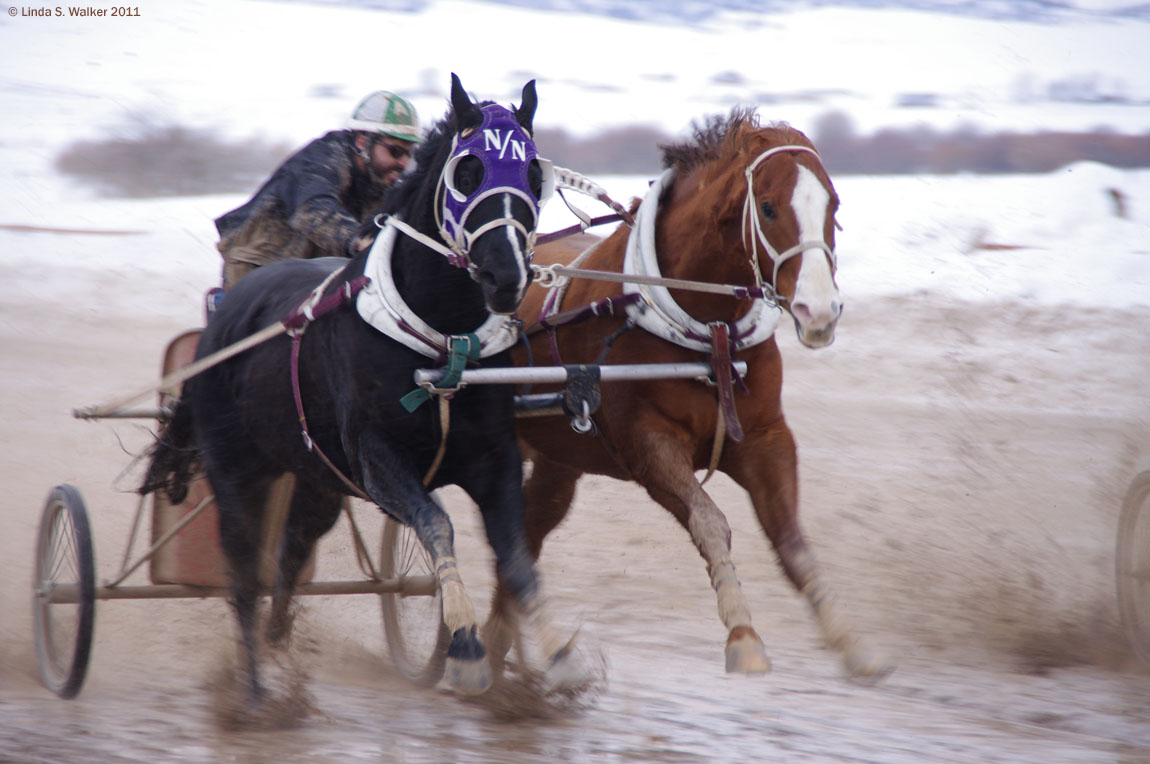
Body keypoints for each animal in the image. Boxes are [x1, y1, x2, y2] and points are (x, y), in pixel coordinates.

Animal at [143, 74, 575, 699]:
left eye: (534, 174)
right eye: (468, 170)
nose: (504, 275)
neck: (443, 342)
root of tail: (223, 321)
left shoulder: (494, 456)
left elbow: (515, 552)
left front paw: (561, 654)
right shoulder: (377, 458)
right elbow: (437, 524)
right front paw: (467, 645)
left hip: (315, 478)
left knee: (290, 554)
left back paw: (277, 648)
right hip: (236, 472)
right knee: (244, 571)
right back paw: (254, 686)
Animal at [485, 110, 887, 676]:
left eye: (833, 204)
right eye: (768, 206)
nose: (819, 311)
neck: (708, 332)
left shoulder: (765, 438)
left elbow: (790, 540)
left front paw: (848, 638)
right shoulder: (647, 443)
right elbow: (709, 521)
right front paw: (742, 633)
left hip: (557, 460)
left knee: (525, 533)